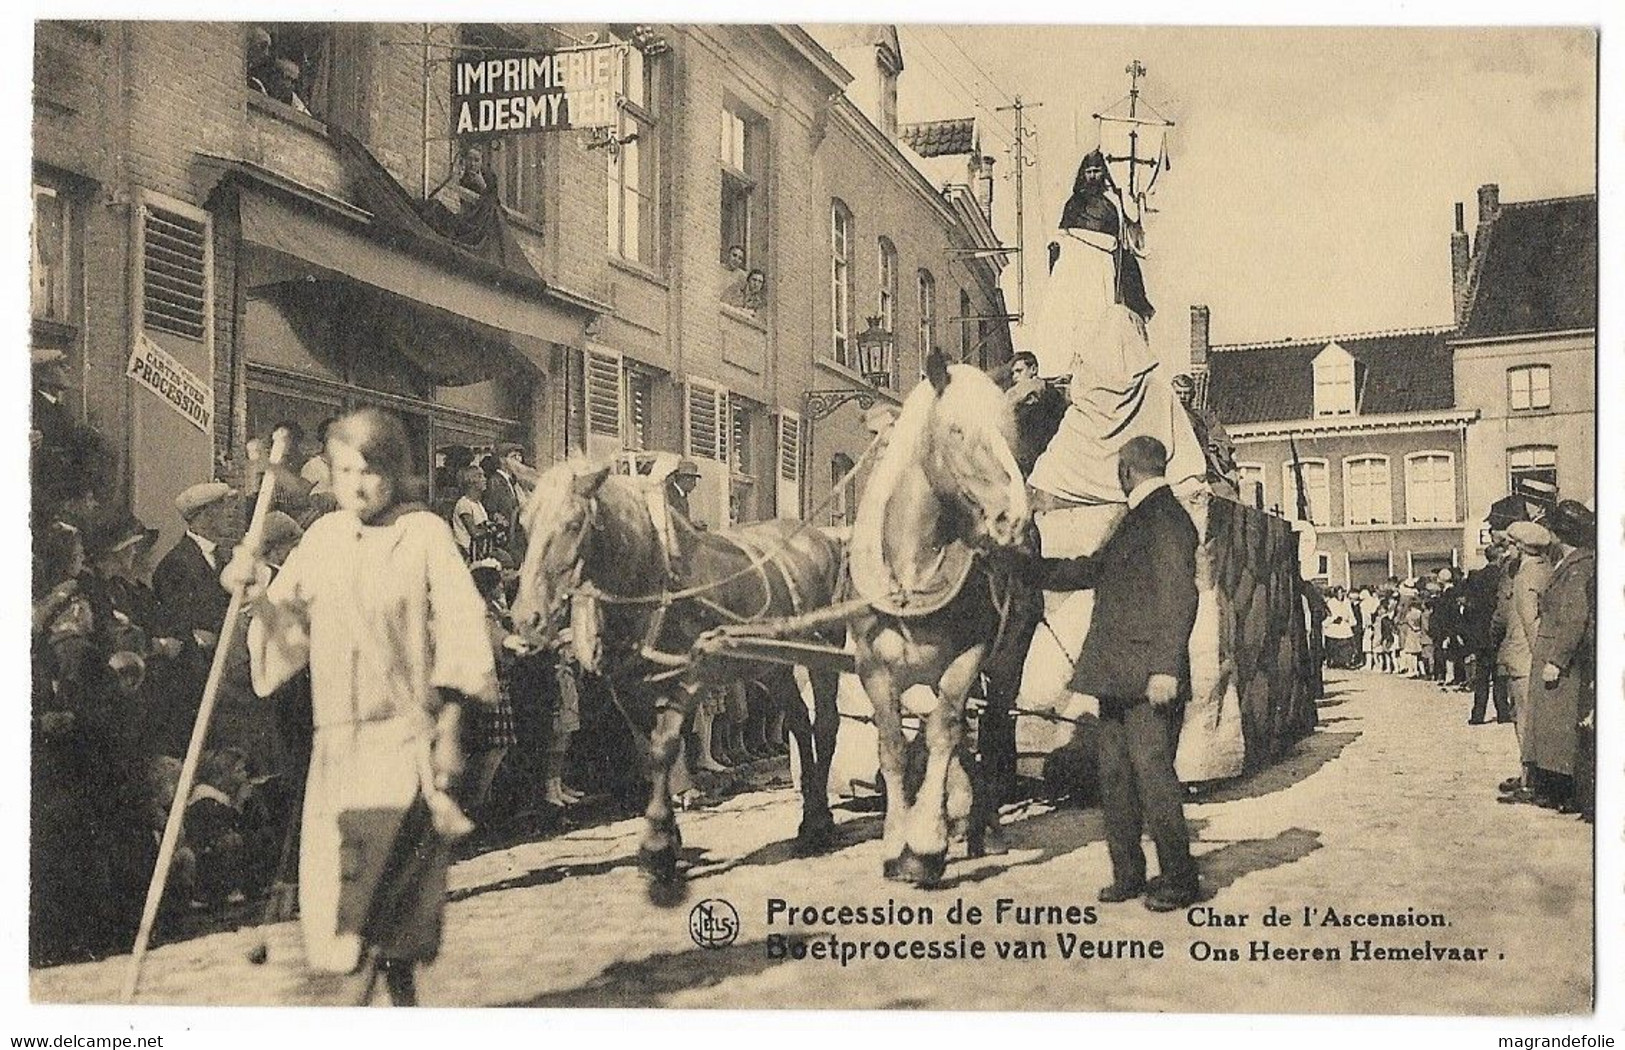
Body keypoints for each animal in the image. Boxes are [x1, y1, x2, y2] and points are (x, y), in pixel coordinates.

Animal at [507, 461, 845, 897]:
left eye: (574, 522)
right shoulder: (627, 690)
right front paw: (665, 837)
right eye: (525, 522)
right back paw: (809, 814)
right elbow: (648, 754)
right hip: (772, 666)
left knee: (825, 725)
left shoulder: (689, 679)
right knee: (800, 724)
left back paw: (820, 821)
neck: (652, 580)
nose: (526, 618)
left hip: (824, 655)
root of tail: (822, 538)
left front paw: (657, 847)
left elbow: (666, 747)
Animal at [845, 354, 1033, 890]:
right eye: (956, 429)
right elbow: (893, 745)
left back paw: (986, 827)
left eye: (1013, 433)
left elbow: (945, 732)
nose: (1015, 520)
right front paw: (896, 845)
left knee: (987, 727)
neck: (911, 573)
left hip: (1008, 657)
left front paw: (925, 846)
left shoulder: (971, 654)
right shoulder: (872, 665)